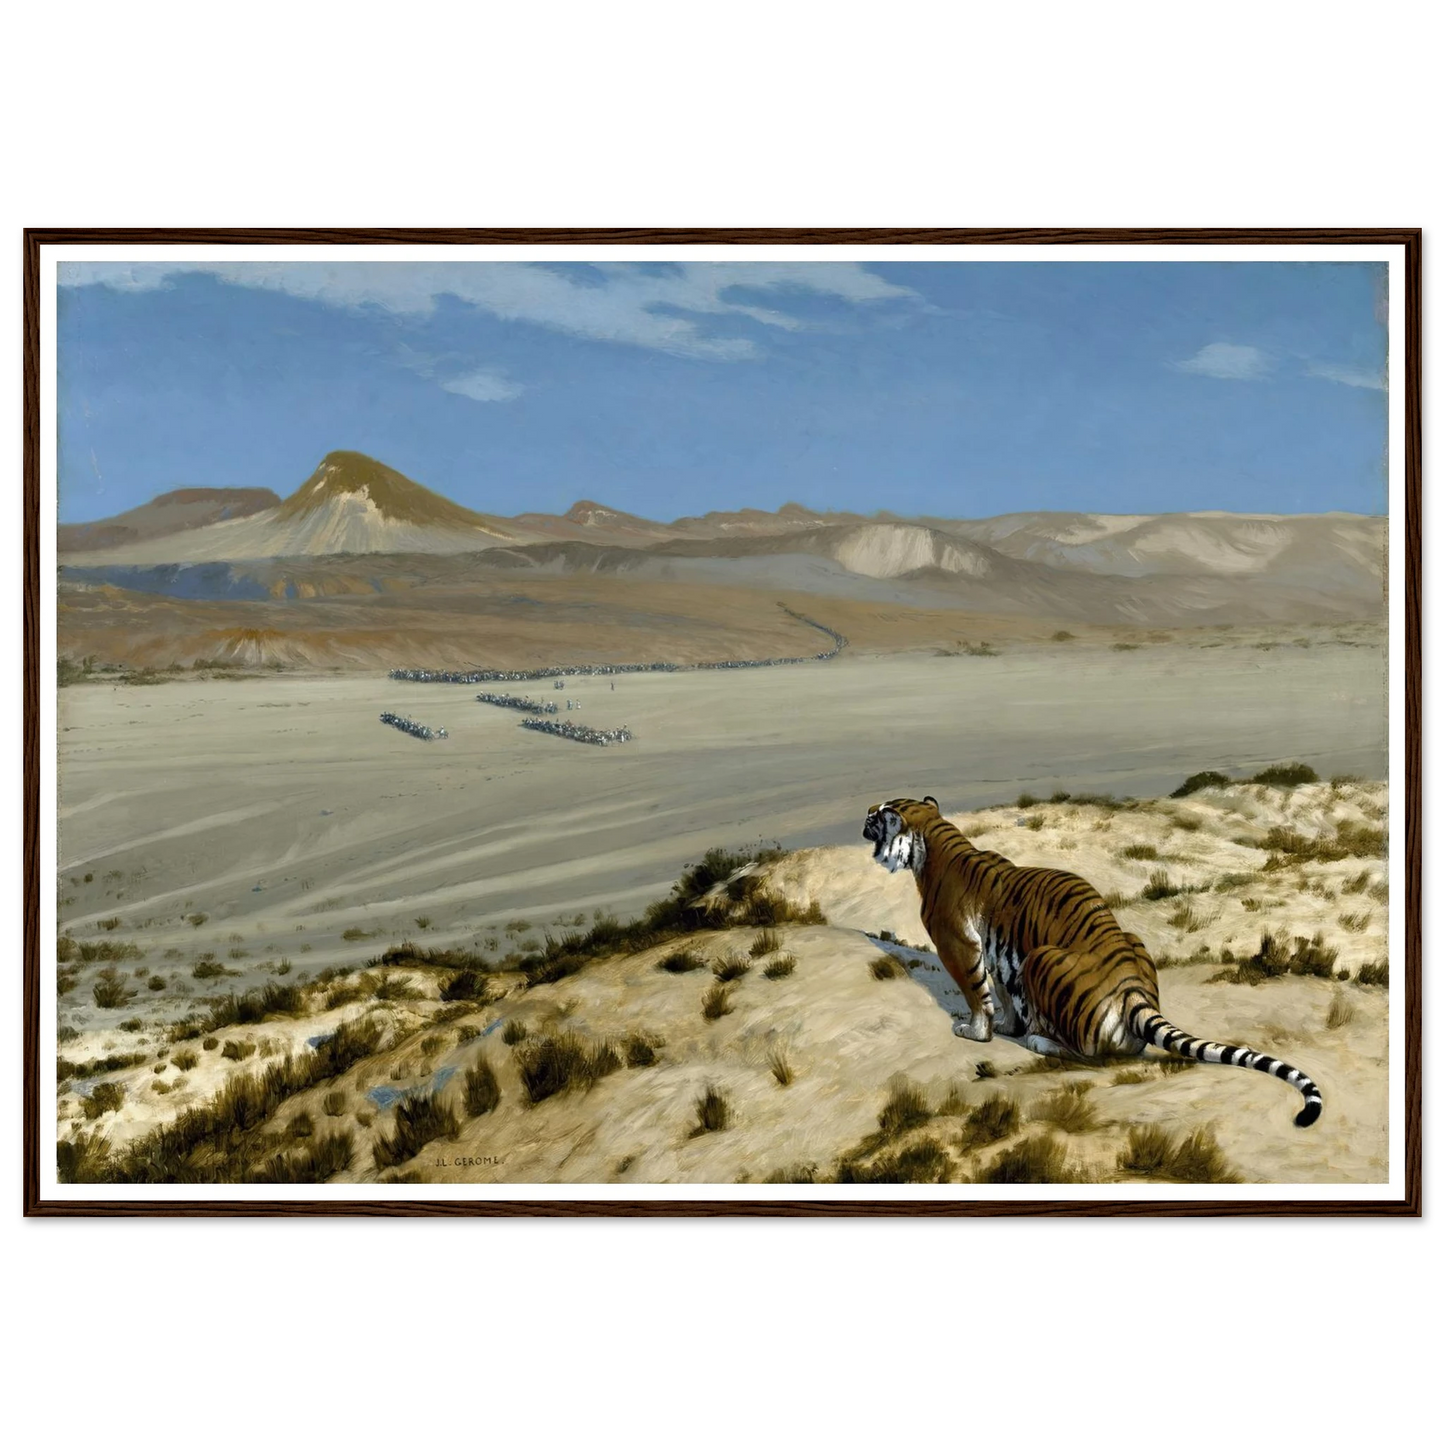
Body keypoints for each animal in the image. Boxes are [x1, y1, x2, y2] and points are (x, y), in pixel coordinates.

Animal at [862, 796, 1323, 1127]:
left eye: (877, 815)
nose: (862, 819)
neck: (933, 842)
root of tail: (1133, 989)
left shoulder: (957, 944)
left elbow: (978, 994)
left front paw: (975, 1032)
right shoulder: (998, 954)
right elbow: (1004, 993)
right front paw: (1008, 1026)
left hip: (1040, 958)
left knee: (1089, 1056)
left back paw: (1039, 1040)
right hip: (1121, 944)